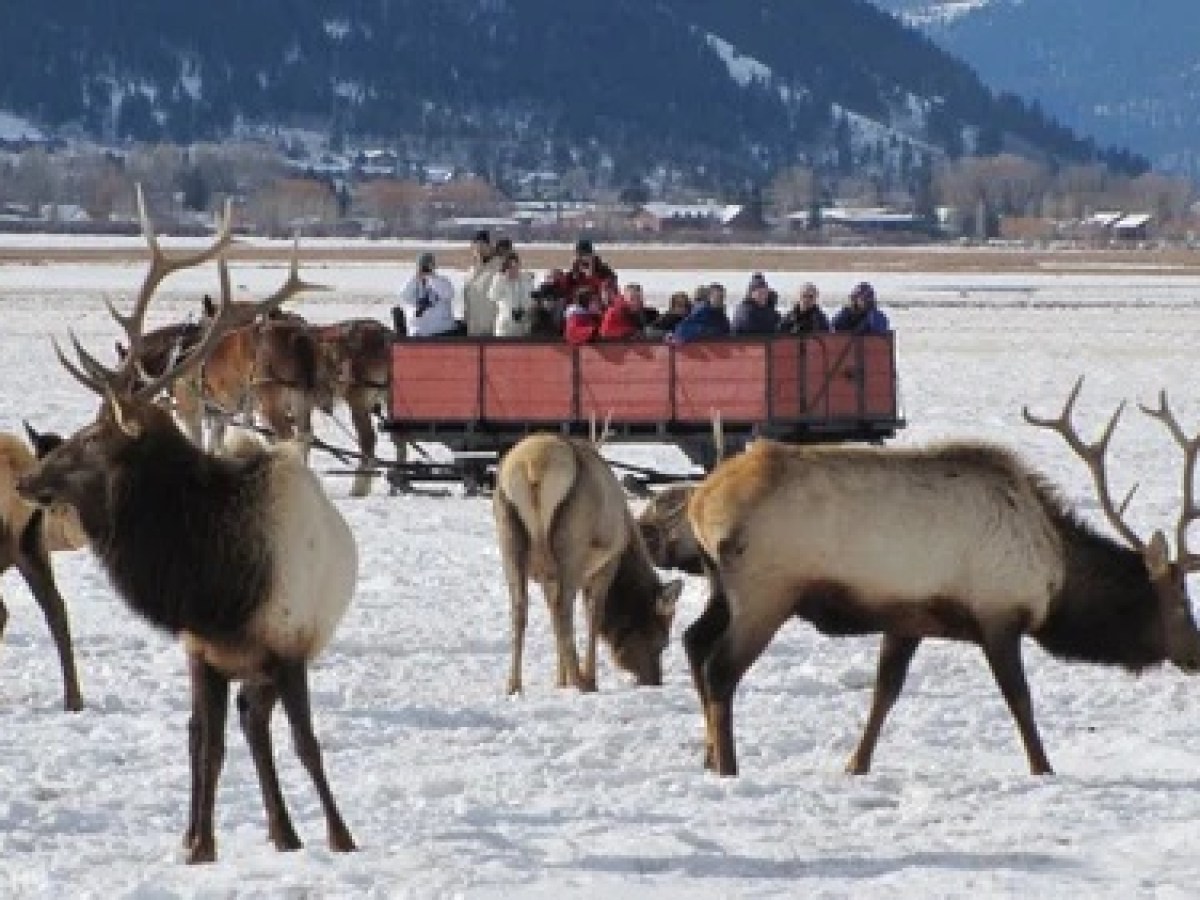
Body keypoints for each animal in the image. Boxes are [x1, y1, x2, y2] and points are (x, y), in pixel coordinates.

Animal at [16, 187, 358, 864]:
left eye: (93, 439)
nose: (24, 481)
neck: (216, 585)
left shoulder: (289, 645)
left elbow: (306, 744)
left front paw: (341, 836)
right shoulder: (202, 650)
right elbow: (205, 742)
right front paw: (198, 844)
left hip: (268, 661)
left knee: (258, 724)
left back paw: (287, 831)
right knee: (232, 728)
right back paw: (277, 831)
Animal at [494, 432, 683, 694]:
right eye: (662, 642)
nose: (654, 682)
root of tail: (533, 464)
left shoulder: (547, 577)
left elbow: (554, 618)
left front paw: (560, 682)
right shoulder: (606, 564)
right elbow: (594, 615)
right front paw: (589, 679)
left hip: (509, 537)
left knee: (520, 609)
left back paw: (514, 686)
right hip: (572, 544)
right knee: (564, 608)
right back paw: (580, 682)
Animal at [682, 377, 1200, 778]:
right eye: (1182, 601)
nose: (1195, 656)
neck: (1056, 577)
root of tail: (701, 501)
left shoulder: (907, 618)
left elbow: (885, 693)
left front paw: (856, 765)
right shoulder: (998, 614)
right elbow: (1020, 698)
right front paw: (1043, 767)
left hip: (721, 587)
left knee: (693, 641)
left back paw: (707, 757)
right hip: (766, 591)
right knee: (720, 668)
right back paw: (728, 767)